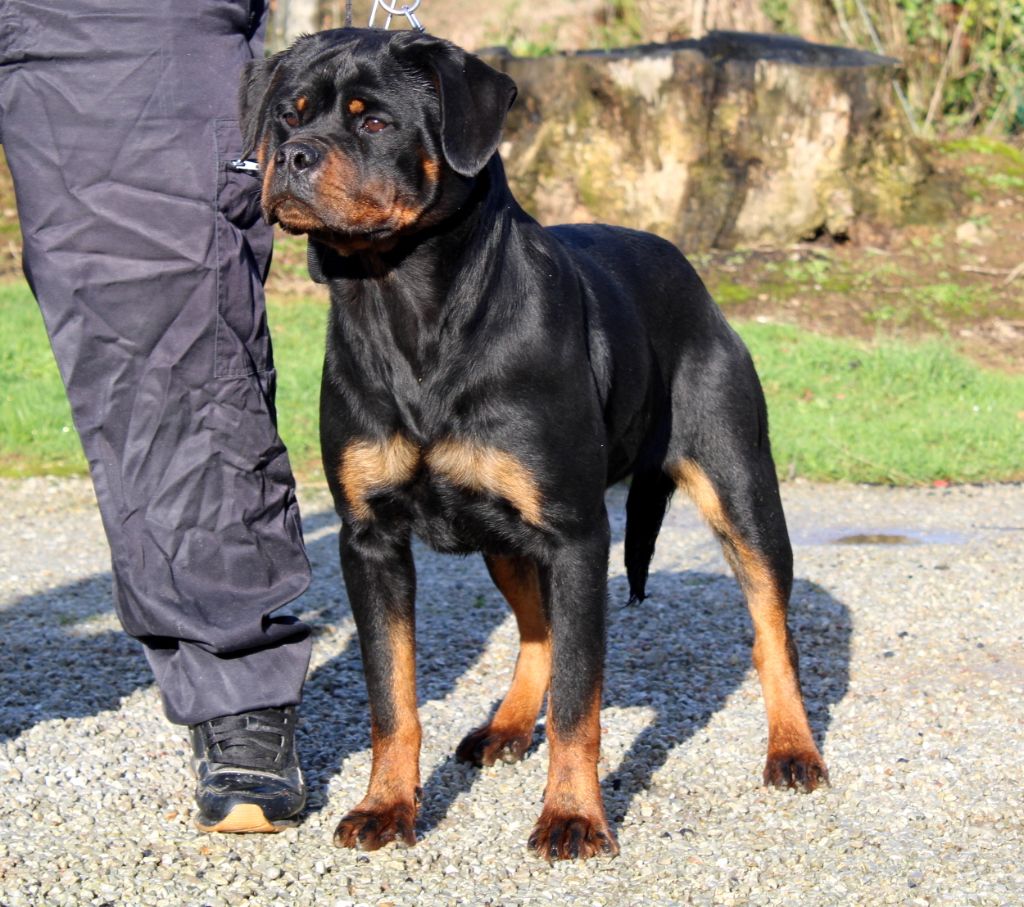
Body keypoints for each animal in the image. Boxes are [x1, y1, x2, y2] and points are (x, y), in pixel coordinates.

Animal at [241, 28, 831, 864]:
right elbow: (392, 694)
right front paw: (388, 803)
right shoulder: (371, 536)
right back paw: (510, 726)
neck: (408, 308)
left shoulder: (576, 532)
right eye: (286, 118)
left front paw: (574, 817)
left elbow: (583, 701)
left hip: (740, 486)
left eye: (374, 122)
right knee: (537, 629)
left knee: (770, 629)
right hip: (506, 536)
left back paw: (793, 748)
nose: (291, 156)